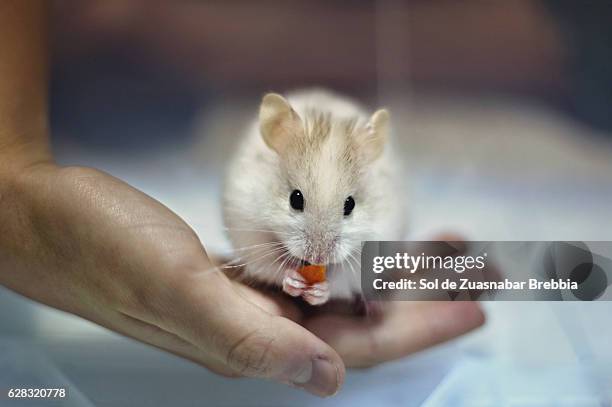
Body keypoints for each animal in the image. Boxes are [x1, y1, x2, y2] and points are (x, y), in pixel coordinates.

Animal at [222, 89, 404, 306]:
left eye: (350, 205)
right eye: (295, 199)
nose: (318, 258)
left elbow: (341, 281)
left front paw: (318, 291)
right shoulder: (250, 232)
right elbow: (272, 268)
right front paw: (294, 281)